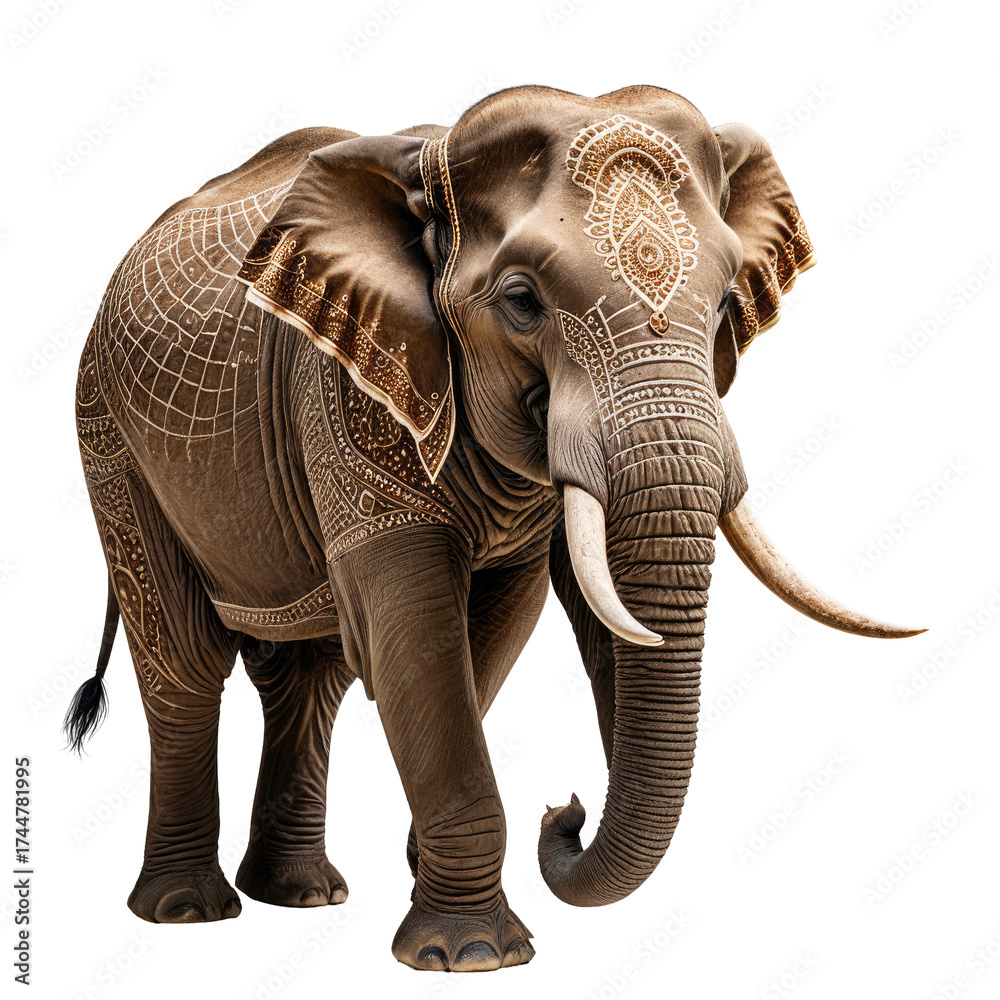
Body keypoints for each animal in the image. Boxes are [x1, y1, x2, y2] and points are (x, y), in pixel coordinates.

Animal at [64, 84, 922, 972]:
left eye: (724, 302)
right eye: (520, 301)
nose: (565, 812)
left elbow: (506, 623)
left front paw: (436, 888)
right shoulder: (343, 397)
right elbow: (415, 634)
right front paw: (472, 954)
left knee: (312, 679)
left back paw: (302, 894)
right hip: (111, 437)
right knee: (184, 664)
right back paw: (186, 911)